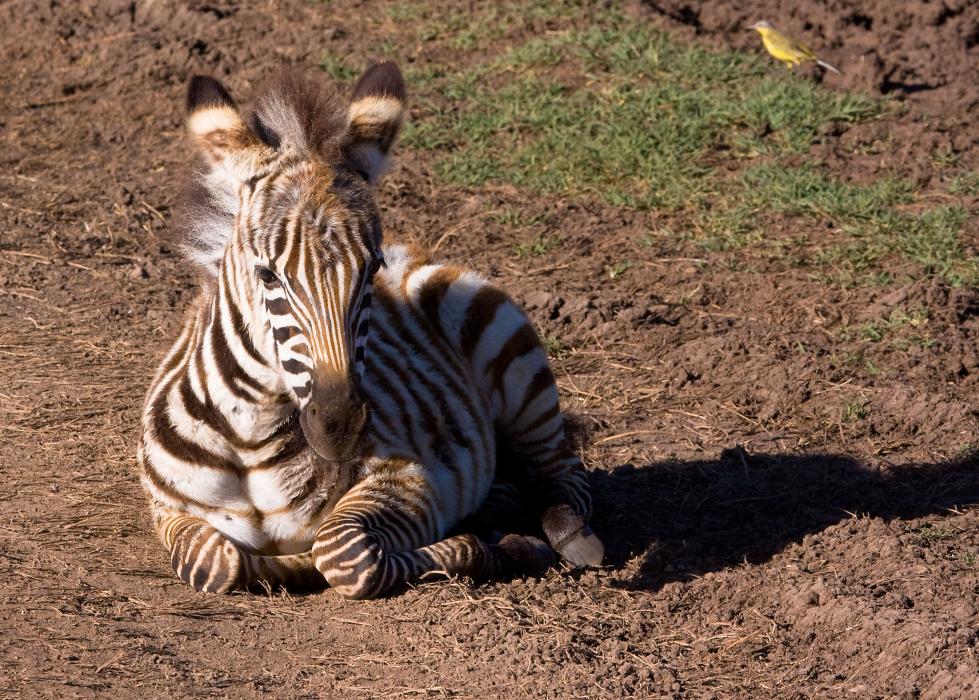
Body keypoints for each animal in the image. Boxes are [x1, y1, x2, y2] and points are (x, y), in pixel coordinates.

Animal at [138, 63, 604, 596]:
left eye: (369, 269)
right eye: (267, 275)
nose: (339, 425)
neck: (249, 437)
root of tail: (412, 254)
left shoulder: (408, 474)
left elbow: (342, 551)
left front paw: (493, 548)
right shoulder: (169, 509)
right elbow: (217, 562)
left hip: (507, 349)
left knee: (561, 468)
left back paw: (567, 533)